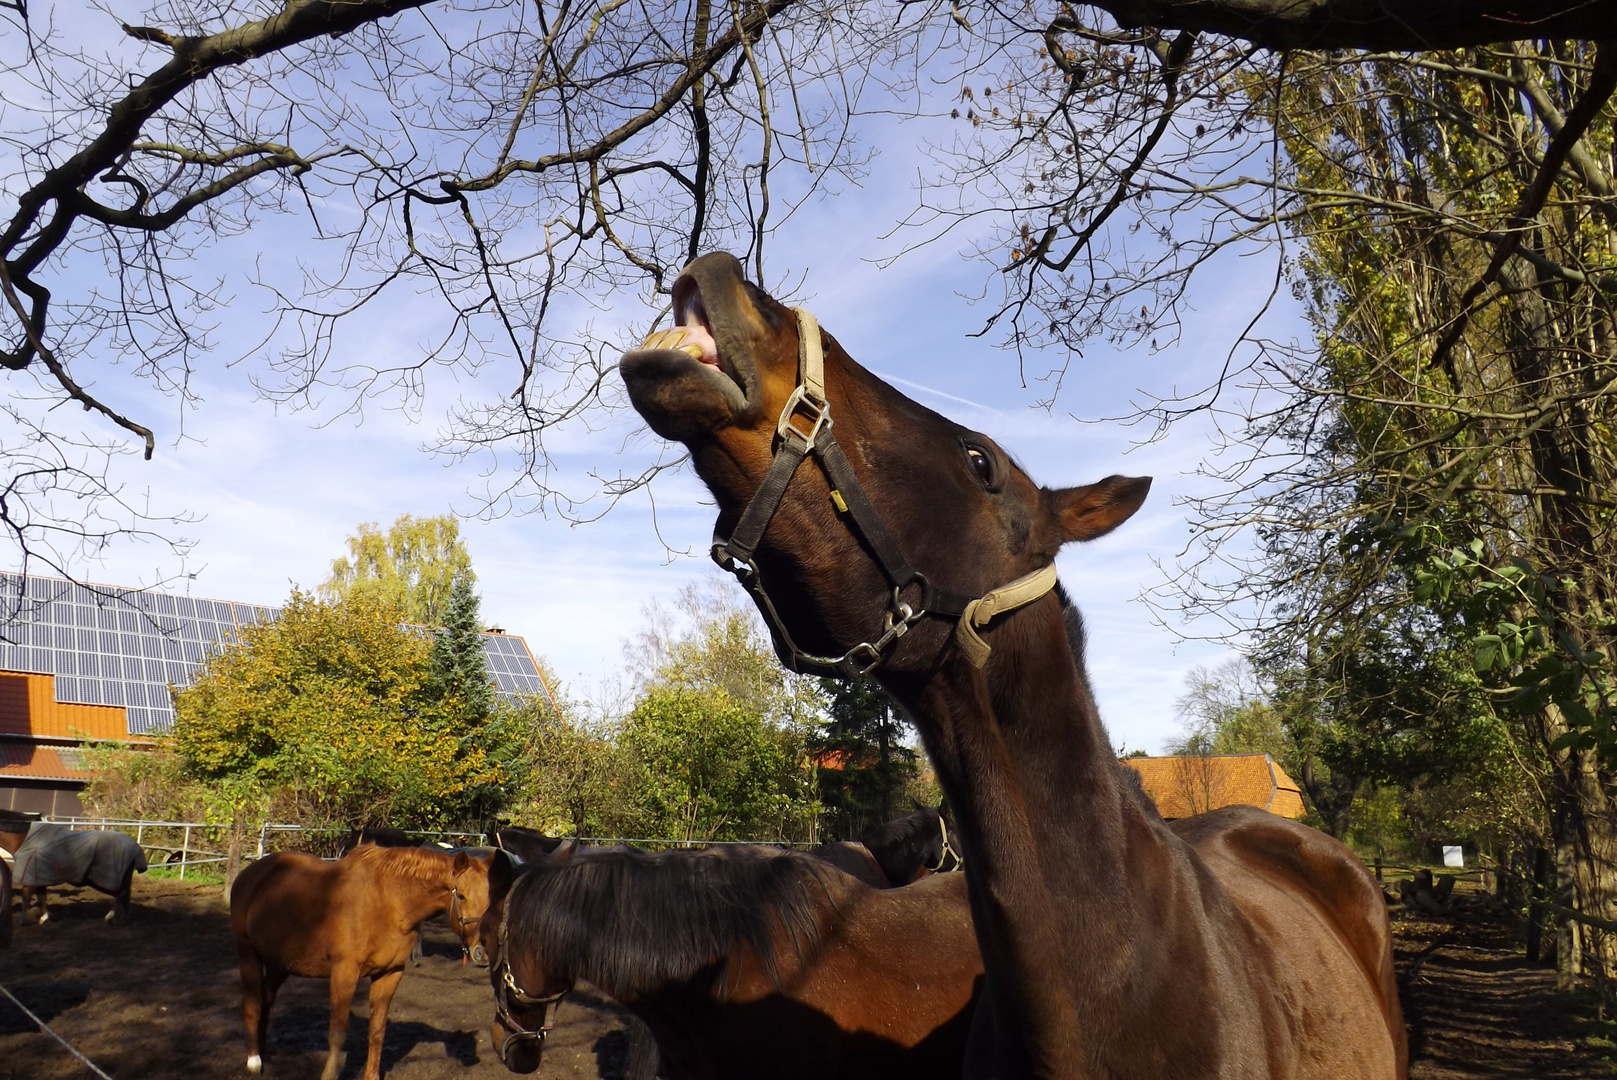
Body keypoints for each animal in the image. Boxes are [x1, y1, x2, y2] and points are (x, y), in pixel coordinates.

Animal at [0, 821, 148, 924]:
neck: (25, 840)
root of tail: (135, 847)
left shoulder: (29, 878)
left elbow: (26, 899)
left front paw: (21, 922)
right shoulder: (40, 878)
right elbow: (41, 898)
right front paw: (44, 919)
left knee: (121, 896)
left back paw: (117, 920)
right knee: (121, 896)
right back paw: (115, 918)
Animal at [231, 840, 501, 1080]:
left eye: (491, 899)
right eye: (462, 896)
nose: (483, 951)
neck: (388, 902)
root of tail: (251, 873)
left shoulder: (390, 973)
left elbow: (377, 1030)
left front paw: (371, 1075)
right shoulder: (345, 972)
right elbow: (338, 1031)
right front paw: (330, 1074)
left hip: (281, 962)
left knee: (266, 998)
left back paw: (264, 1053)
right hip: (247, 952)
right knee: (253, 1004)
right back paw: (254, 1062)